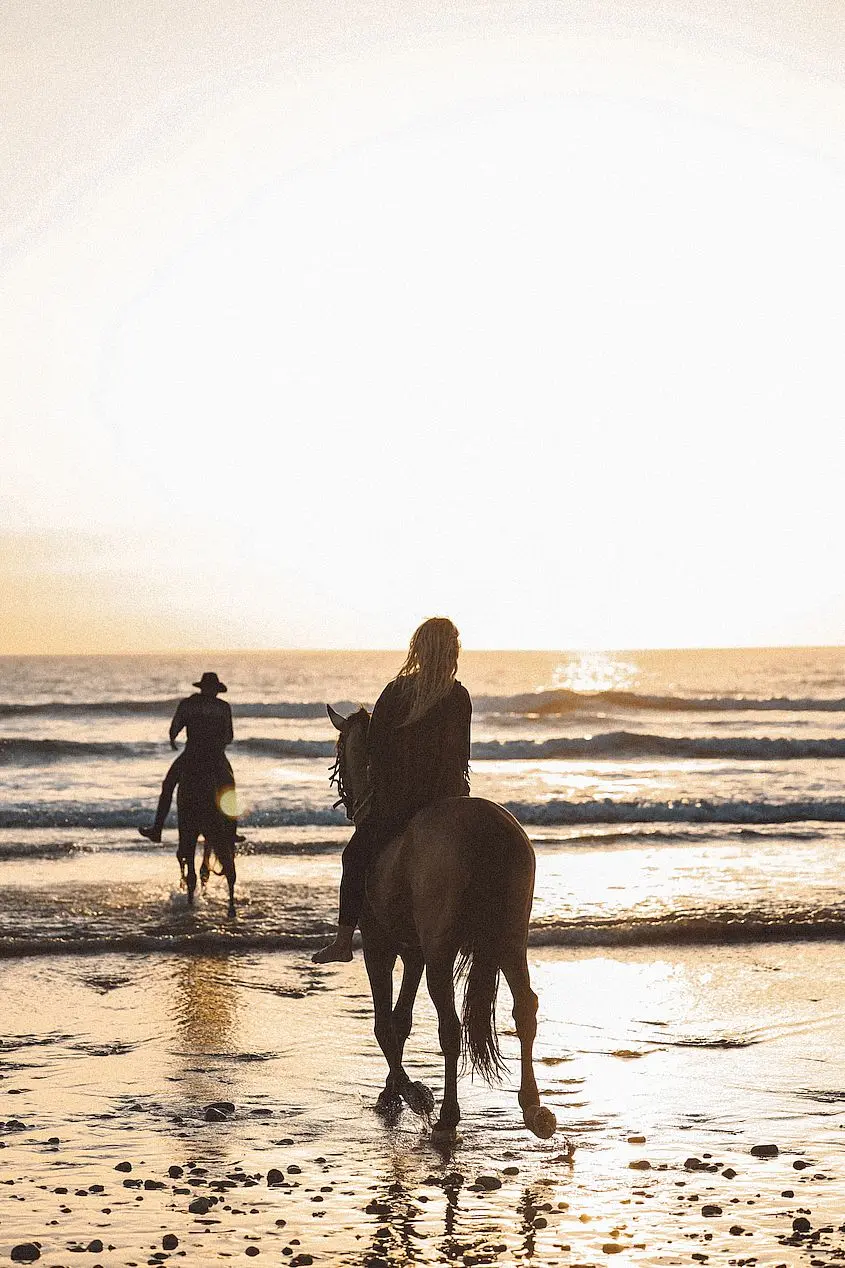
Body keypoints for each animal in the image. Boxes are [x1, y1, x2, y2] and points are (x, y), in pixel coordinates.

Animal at [324, 699, 555, 1146]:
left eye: (340, 751)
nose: (346, 799)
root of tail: (486, 828)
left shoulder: (380, 947)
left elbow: (384, 1025)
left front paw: (412, 1094)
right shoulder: (414, 952)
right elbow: (401, 1020)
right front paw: (393, 1092)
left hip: (442, 950)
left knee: (450, 1027)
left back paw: (447, 1116)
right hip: (508, 940)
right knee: (525, 1009)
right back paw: (534, 1108)